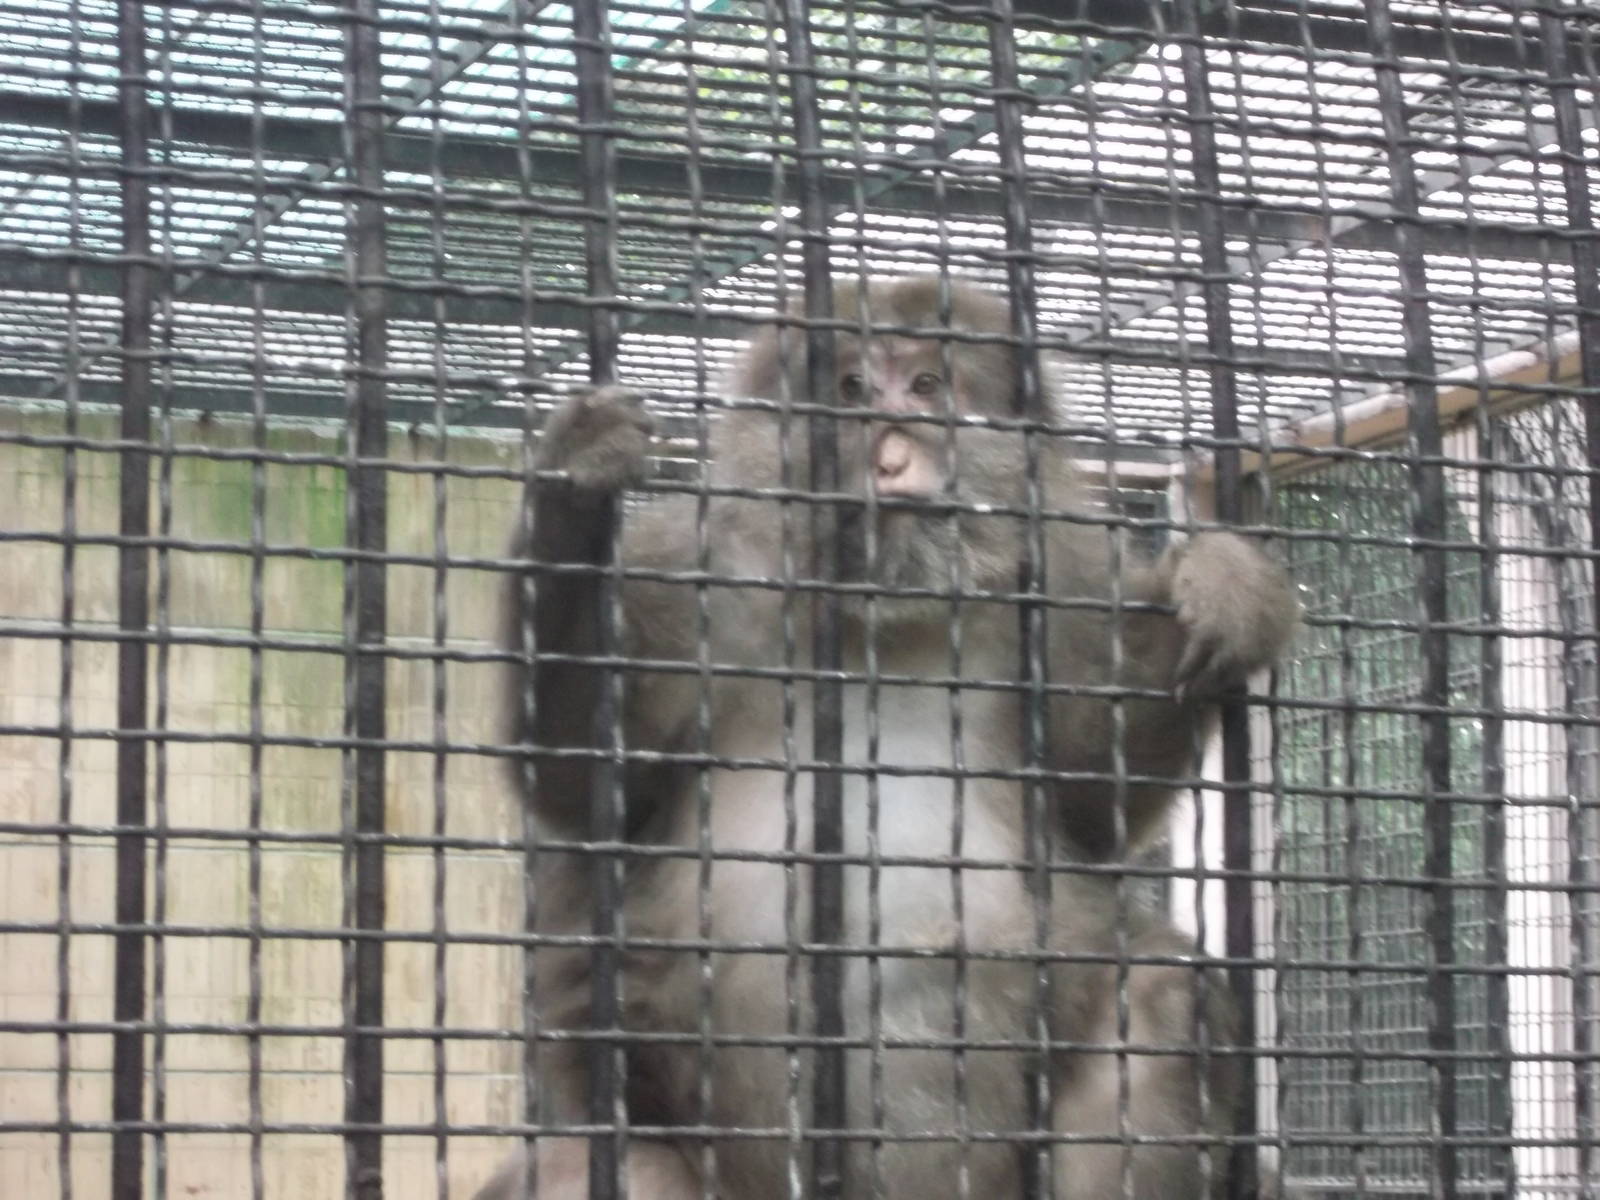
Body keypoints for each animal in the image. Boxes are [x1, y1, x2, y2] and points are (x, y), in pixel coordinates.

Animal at [478, 275, 1299, 1198]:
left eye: (926, 386)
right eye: (850, 389)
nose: (893, 456)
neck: (888, 617)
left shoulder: (1064, 576)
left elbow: (1095, 796)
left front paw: (1223, 585)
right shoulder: (690, 563)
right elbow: (583, 786)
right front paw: (574, 492)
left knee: (1160, 996)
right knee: (605, 1164)